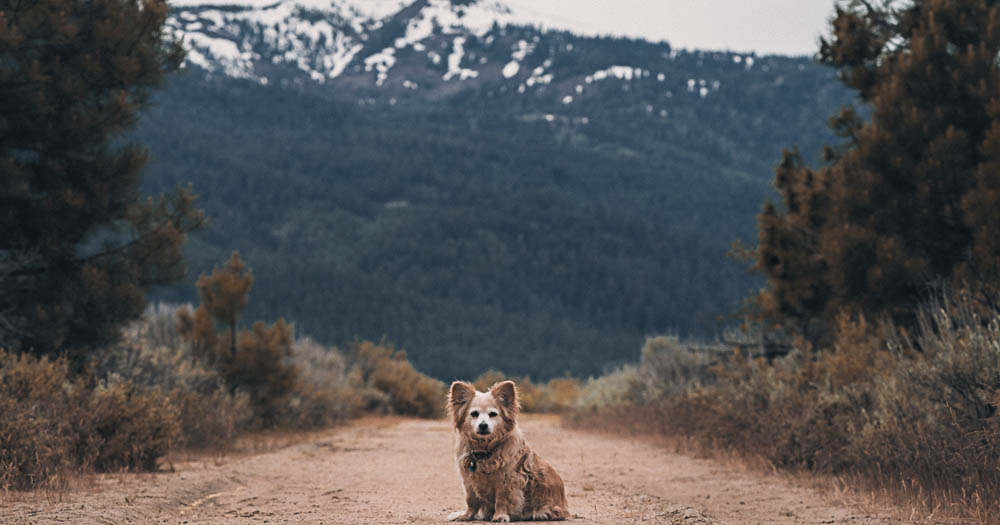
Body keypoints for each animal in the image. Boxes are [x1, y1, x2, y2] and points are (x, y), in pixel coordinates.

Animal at [448, 378, 572, 520]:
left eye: (493, 414)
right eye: (474, 414)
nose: (483, 425)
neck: (484, 448)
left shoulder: (506, 480)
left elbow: (501, 499)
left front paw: (500, 516)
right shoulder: (468, 481)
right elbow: (471, 500)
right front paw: (466, 516)